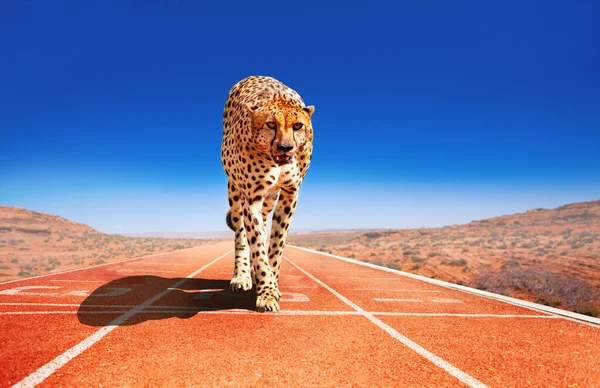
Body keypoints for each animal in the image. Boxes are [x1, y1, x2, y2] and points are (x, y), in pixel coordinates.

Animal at [220, 76, 314, 312]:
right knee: (241, 235)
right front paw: (267, 293)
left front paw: (273, 285)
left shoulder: (290, 193)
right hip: (235, 193)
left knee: (263, 224)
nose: (285, 147)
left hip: (269, 199)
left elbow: (276, 243)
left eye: (298, 126)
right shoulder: (251, 197)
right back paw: (242, 276)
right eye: (271, 125)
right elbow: (257, 245)